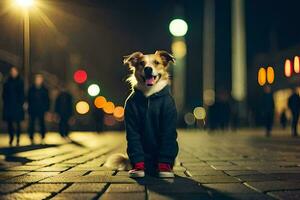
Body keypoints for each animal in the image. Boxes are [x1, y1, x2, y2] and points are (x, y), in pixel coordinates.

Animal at [104, 50, 178, 178]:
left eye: (156, 62)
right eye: (141, 63)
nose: (148, 69)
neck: (149, 94)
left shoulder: (167, 122)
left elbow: (166, 143)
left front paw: (164, 169)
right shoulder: (132, 125)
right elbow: (135, 145)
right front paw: (138, 168)